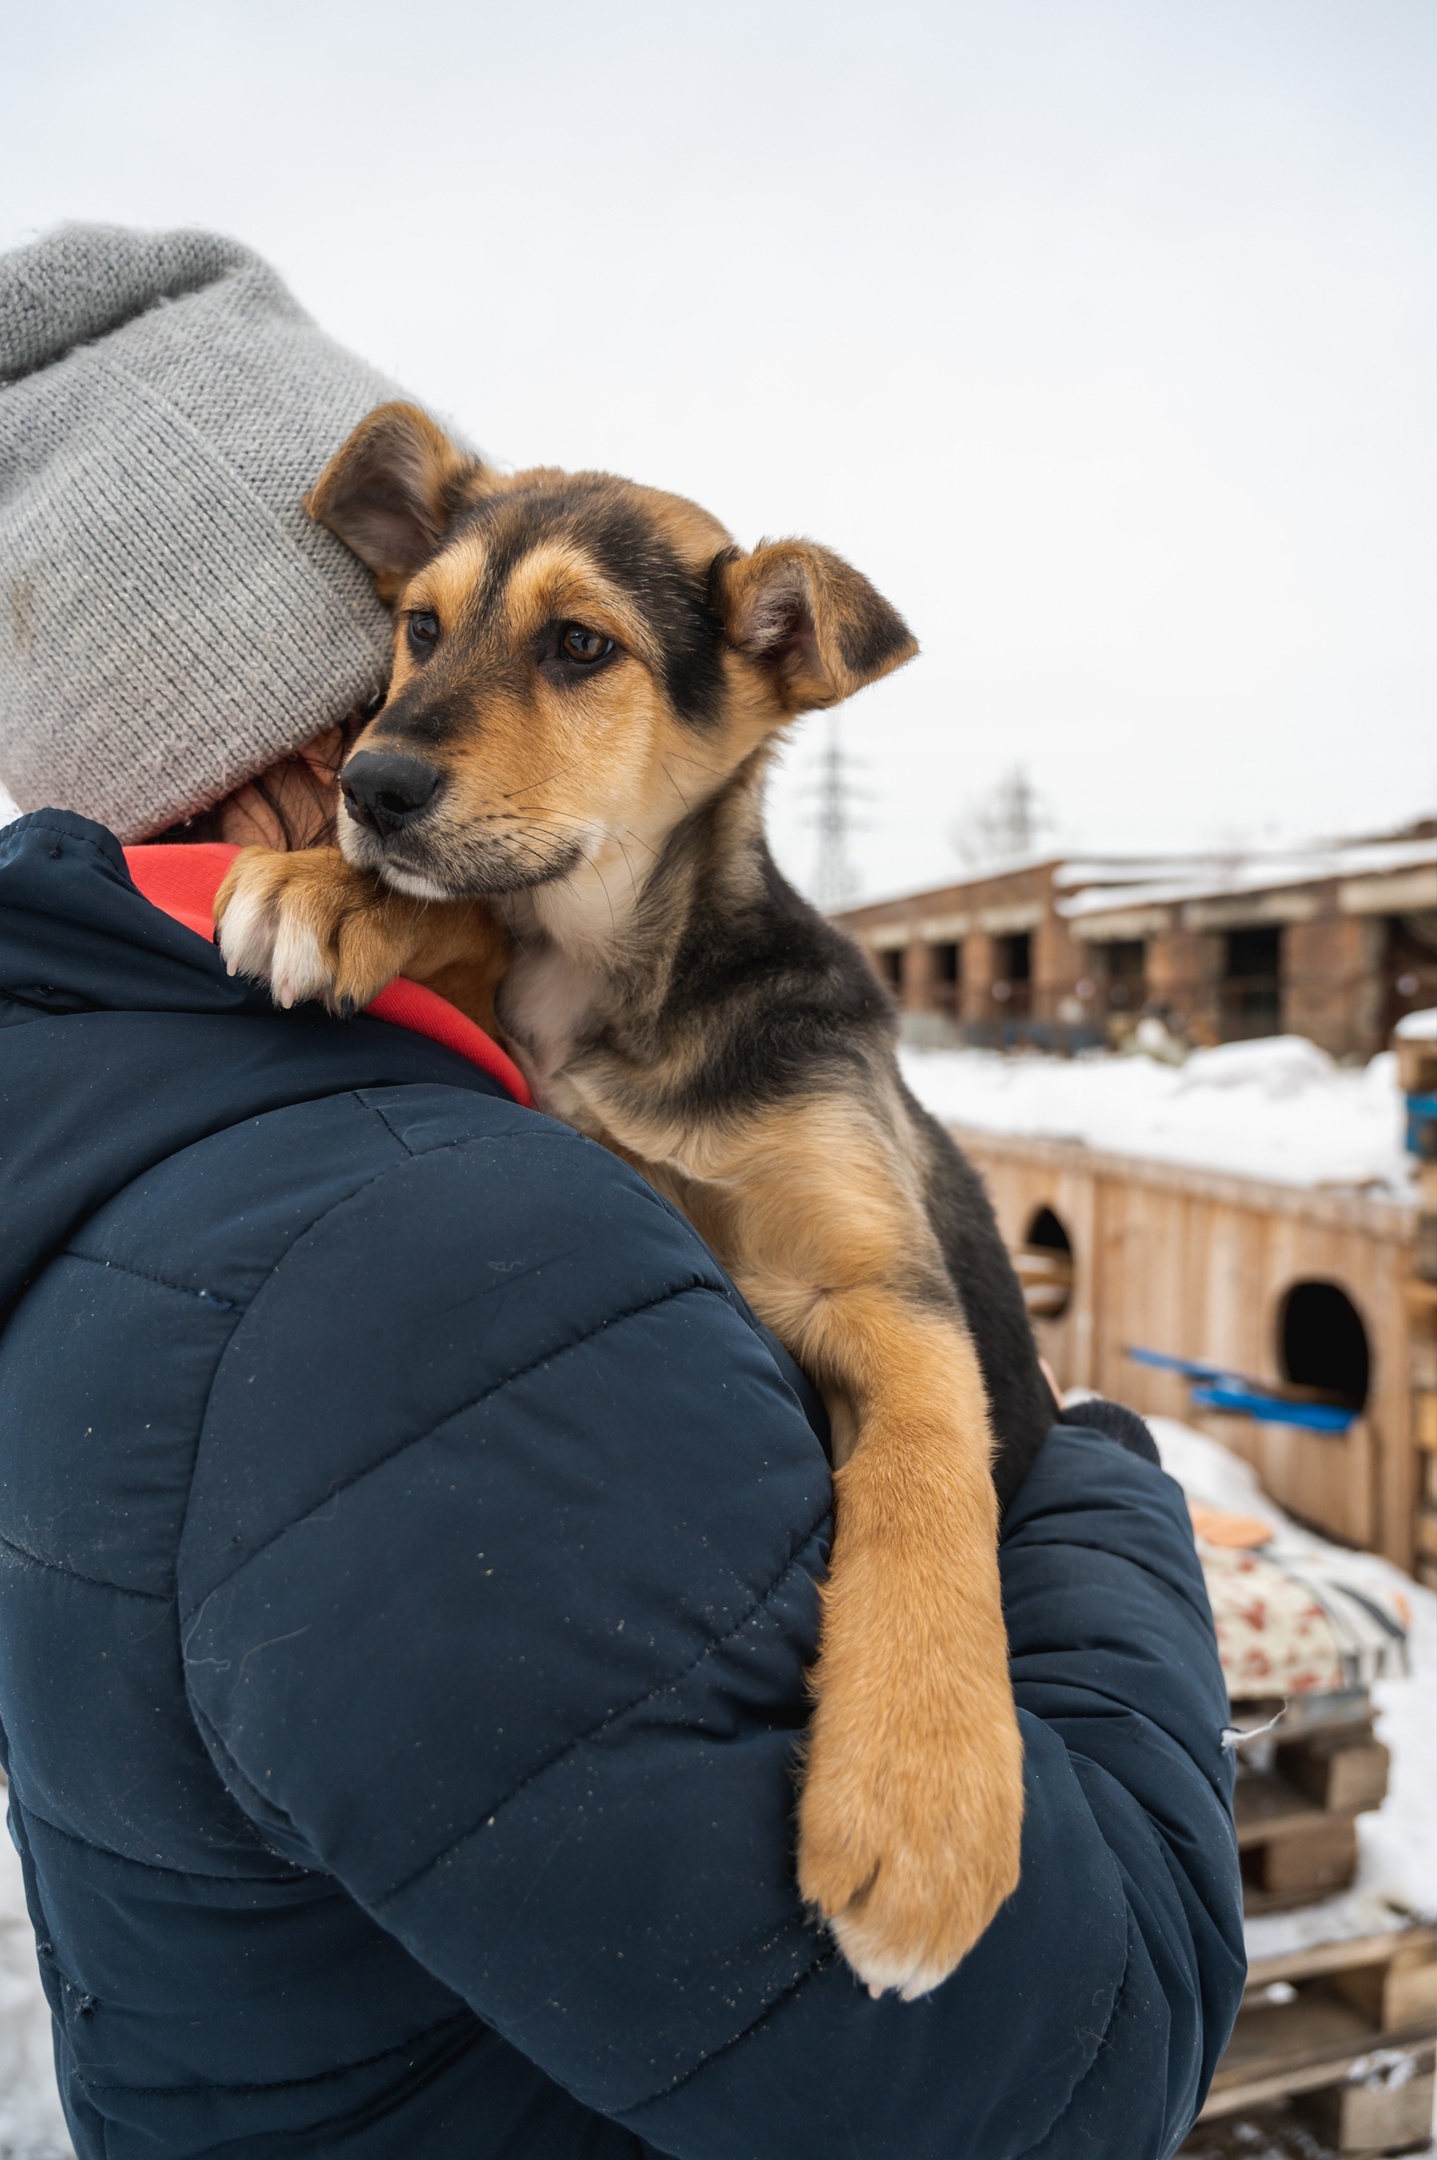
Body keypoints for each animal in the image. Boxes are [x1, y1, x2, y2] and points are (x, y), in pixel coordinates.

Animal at [212, 408, 1050, 2004]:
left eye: (581, 648)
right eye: (420, 629)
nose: (370, 791)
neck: (618, 985)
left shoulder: (878, 1285)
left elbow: (927, 1493)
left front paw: (922, 1808)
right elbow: (473, 927)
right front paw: (331, 894)